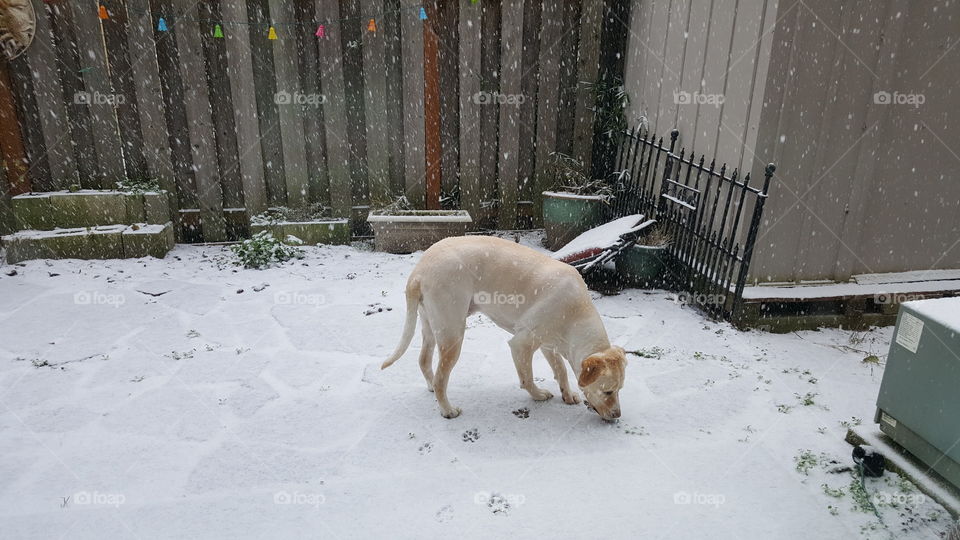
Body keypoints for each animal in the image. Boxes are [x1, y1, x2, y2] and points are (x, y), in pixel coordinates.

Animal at [380, 237, 624, 422]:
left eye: (619, 390)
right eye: (608, 391)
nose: (617, 415)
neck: (575, 313)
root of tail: (419, 271)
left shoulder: (548, 344)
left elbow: (561, 370)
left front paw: (568, 394)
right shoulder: (521, 345)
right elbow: (527, 378)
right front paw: (538, 395)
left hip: (431, 327)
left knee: (423, 360)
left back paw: (431, 387)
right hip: (453, 336)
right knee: (442, 379)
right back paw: (447, 410)